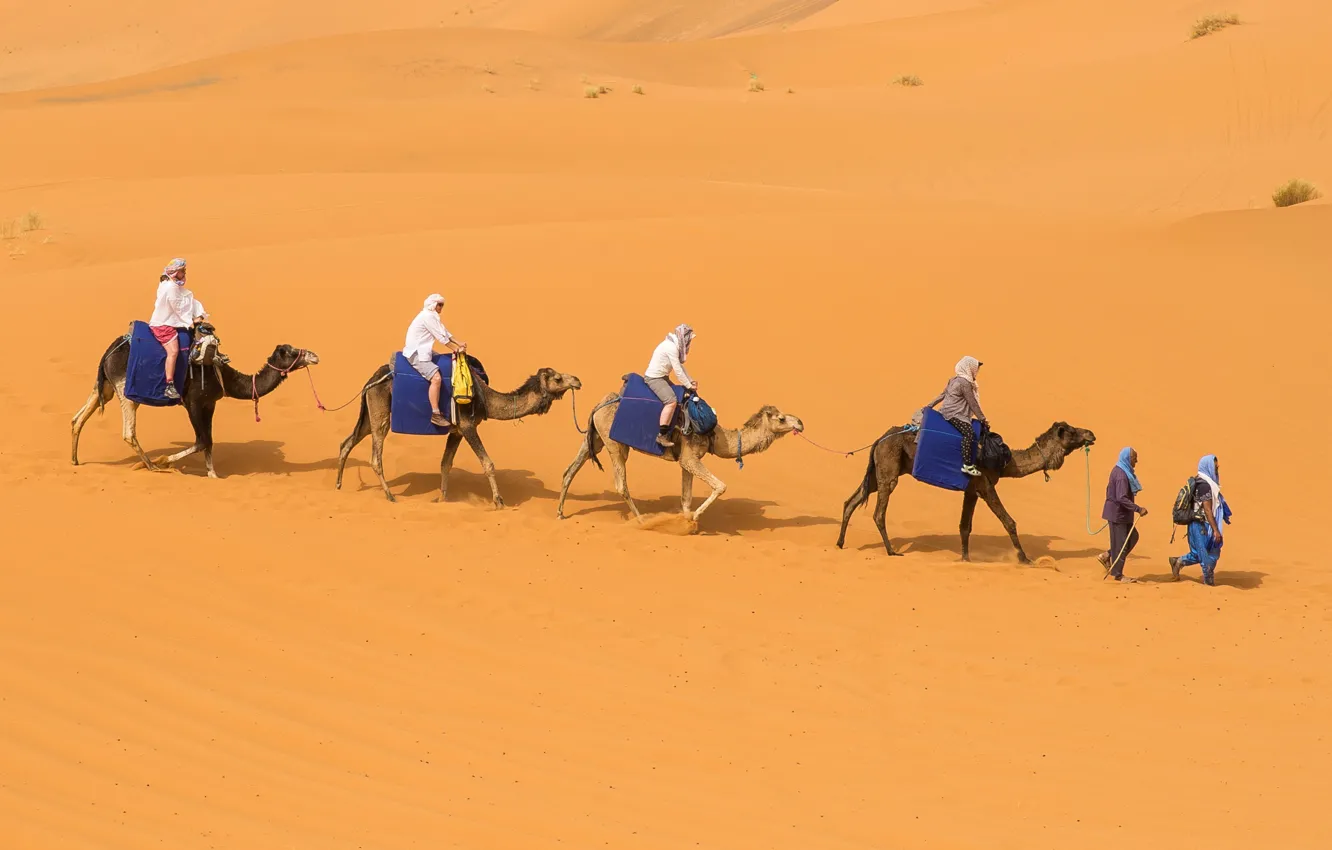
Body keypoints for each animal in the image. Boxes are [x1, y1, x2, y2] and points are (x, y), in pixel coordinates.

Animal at [71, 328, 320, 478]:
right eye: (291, 352)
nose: (314, 355)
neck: (223, 375)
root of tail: (107, 353)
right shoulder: (194, 402)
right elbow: (201, 441)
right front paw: (165, 460)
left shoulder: (210, 404)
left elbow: (209, 442)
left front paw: (213, 475)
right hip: (125, 389)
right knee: (128, 432)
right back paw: (151, 466)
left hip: (105, 385)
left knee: (78, 418)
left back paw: (74, 460)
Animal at [334, 361, 581, 506]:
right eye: (558, 378)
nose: (578, 380)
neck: (484, 398)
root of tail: (370, 381)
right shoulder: (468, 425)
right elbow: (488, 463)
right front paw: (499, 501)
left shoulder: (456, 431)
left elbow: (446, 463)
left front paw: (442, 499)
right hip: (380, 412)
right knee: (376, 457)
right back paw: (390, 496)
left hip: (370, 413)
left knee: (347, 442)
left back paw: (338, 485)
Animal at [555, 389, 805, 522]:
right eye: (781, 418)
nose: (801, 422)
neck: (716, 435)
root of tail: (598, 406)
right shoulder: (689, 457)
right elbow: (720, 486)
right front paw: (693, 519)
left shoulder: (686, 461)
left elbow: (686, 497)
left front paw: (686, 520)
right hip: (615, 445)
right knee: (620, 484)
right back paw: (642, 520)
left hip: (594, 439)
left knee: (570, 470)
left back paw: (560, 513)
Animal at [835, 421, 1097, 563]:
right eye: (1071, 431)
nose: (1091, 433)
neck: (1006, 461)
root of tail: (879, 439)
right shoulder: (985, 485)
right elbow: (1009, 522)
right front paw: (1025, 559)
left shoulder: (971, 490)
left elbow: (964, 527)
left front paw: (965, 558)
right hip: (889, 467)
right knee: (879, 511)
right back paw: (891, 551)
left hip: (880, 470)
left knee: (852, 500)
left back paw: (839, 543)